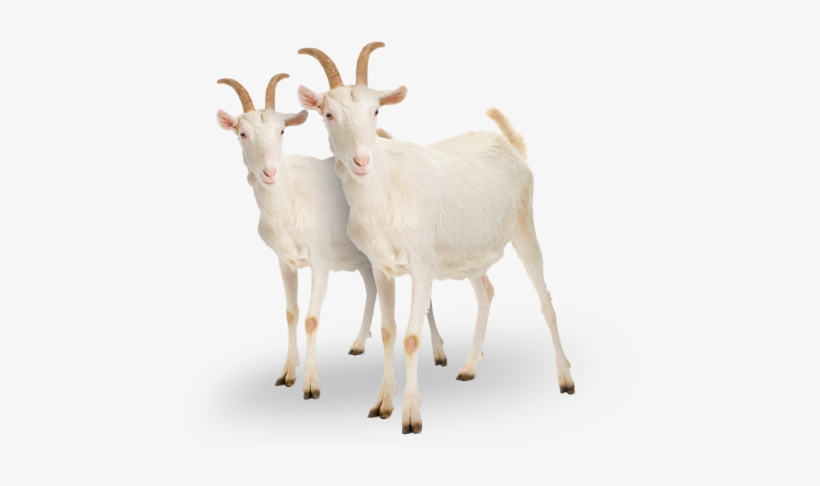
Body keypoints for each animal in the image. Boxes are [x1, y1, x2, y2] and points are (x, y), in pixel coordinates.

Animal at [215, 74, 448, 400]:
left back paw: (439, 352)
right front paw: (287, 371)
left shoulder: (320, 260)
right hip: (366, 260)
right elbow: (291, 313)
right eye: (242, 133)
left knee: (426, 299)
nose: (269, 172)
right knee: (372, 289)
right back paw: (359, 342)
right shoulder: (285, 262)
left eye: (281, 130)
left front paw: (311, 384)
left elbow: (311, 319)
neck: (290, 195)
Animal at [297, 44, 575, 433]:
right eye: (328, 114)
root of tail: (510, 146)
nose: (362, 161)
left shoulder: (422, 266)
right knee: (486, 293)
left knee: (545, 300)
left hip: (525, 225)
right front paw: (382, 403)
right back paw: (469, 366)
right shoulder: (382, 268)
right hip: (471, 253)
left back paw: (565, 379)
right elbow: (388, 331)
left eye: (376, 110)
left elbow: (412, 337)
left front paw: (411, 417)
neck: (386, 190)